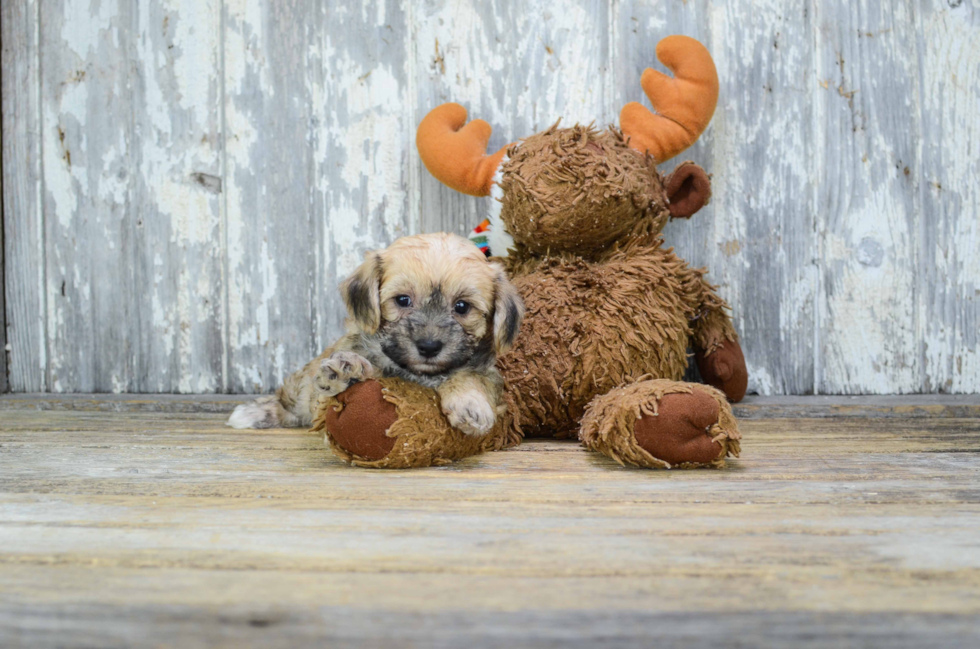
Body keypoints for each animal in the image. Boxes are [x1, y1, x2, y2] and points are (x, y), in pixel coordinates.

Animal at [228, 233, 520, 436]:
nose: (428, 346)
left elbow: (471, 377)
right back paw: (255, 412)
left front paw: (470, 405)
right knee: (291, 401)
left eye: (462, 307)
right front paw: (346, 373)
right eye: (402, 300)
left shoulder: (488, 374)